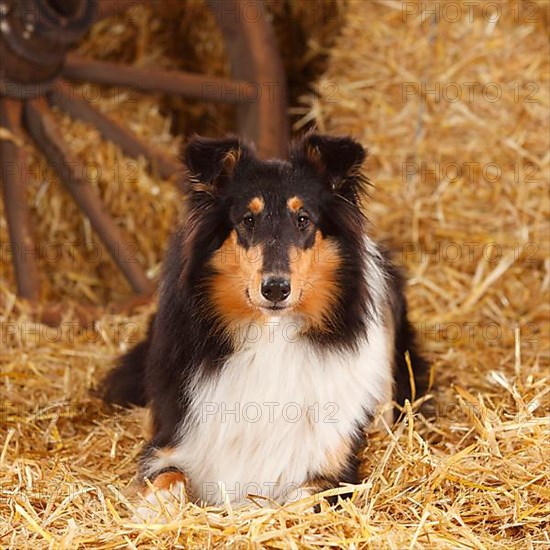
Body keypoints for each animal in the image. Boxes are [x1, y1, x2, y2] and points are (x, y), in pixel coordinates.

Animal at [103, 134, 432, 512]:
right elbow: (168, 479)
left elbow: (291, 507)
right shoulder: (171, 444)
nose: (275, 288)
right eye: (248, 219)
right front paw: (154, 512)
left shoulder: (331, 472)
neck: (270, 337)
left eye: (303, 219)